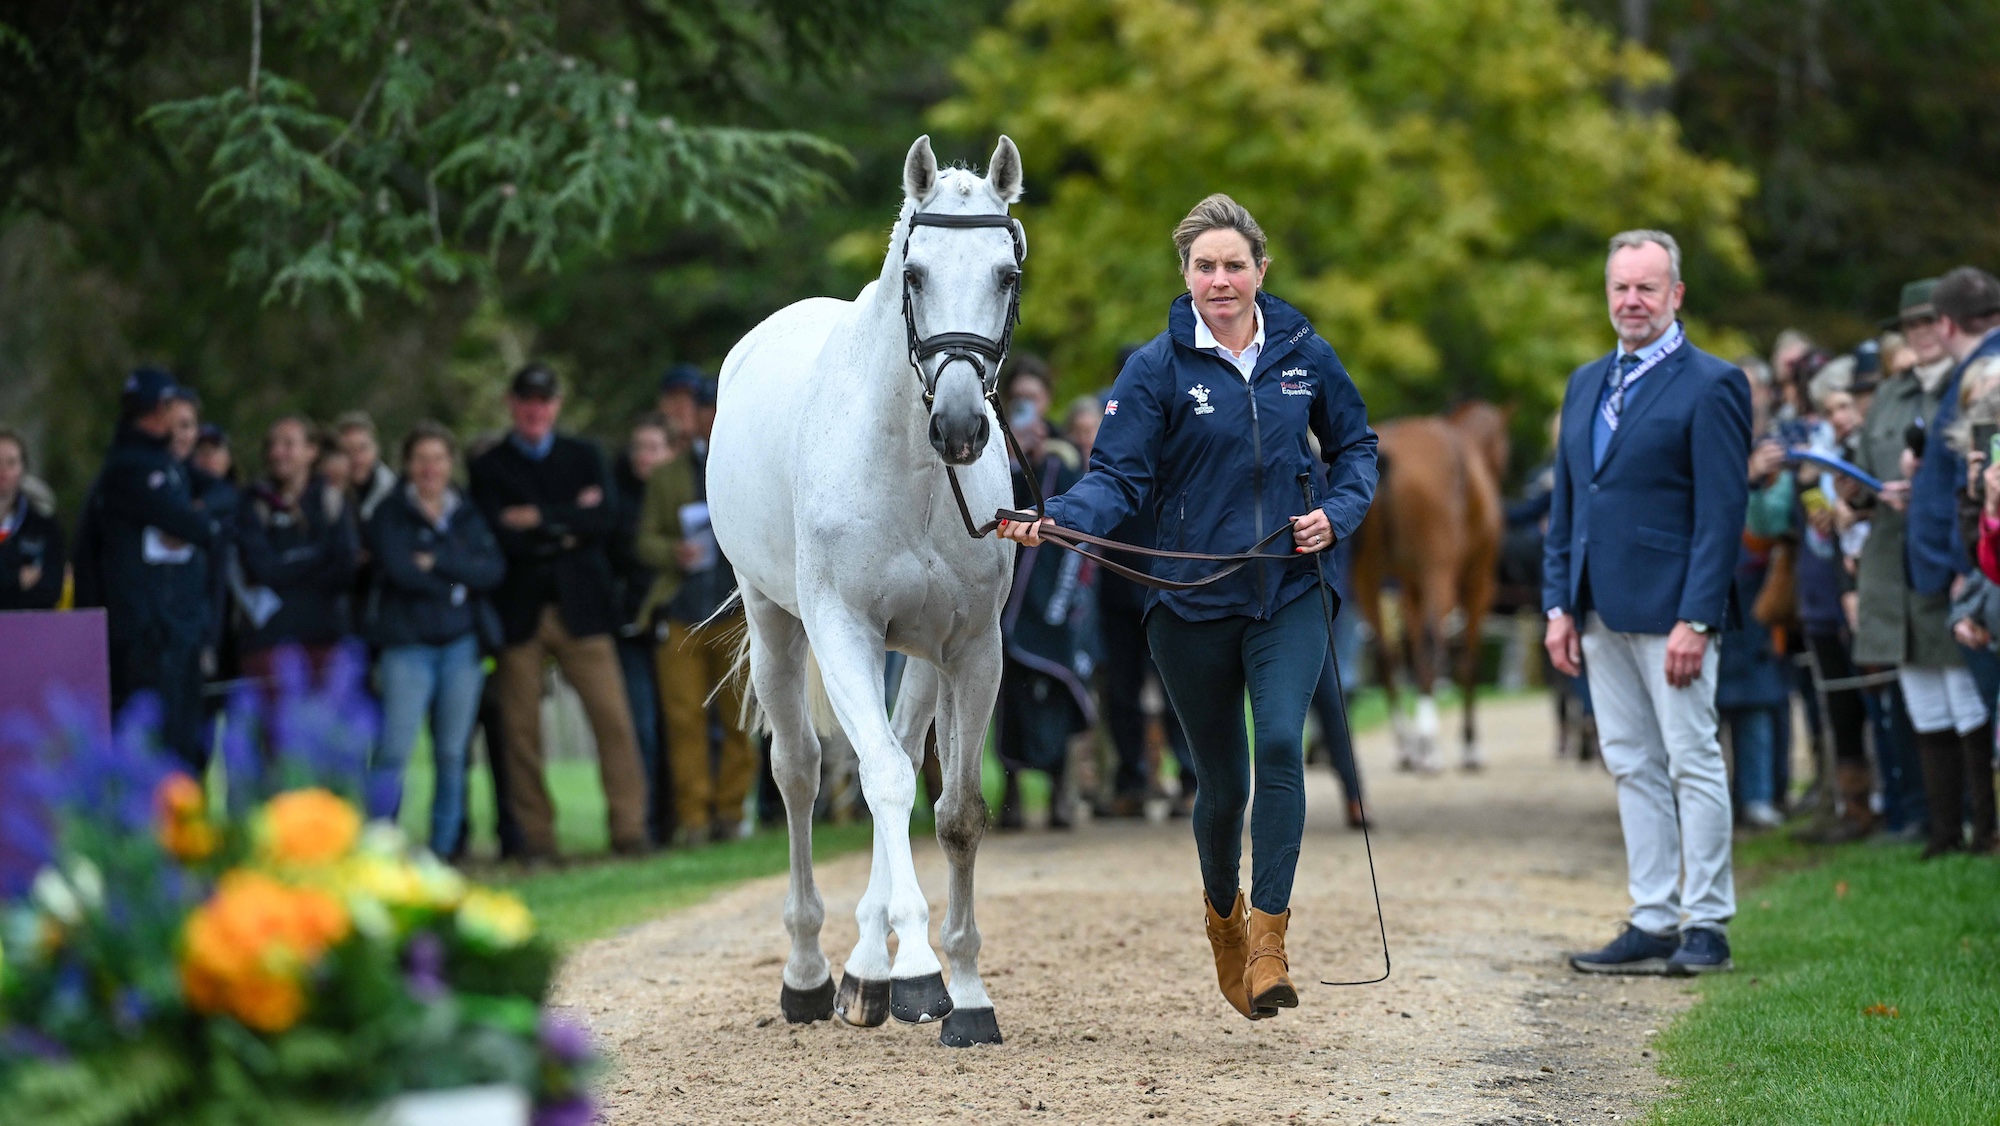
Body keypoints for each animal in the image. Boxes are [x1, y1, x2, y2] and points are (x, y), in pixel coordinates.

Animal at [706, 135, 1022, 1048]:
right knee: (802, 772)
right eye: (914, 272)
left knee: (903, 757)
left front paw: (965, 991)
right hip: (775, 621)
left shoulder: (970, 647)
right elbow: (878, 780)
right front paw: (918, 969)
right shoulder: (842, 630)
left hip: (914, 654)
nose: (960, 425)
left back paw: (864, 974)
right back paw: (811, 975)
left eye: (1006, 273)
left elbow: (955, 810)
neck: (909, 469)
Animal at [1349, 402, 1506, 772]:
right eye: (1505, 445)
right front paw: (1469, 745)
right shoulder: (1478, 585)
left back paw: (1408, 747)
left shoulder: (1410, 588)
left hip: (1365, 576)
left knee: (1386, 654)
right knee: (1435, 642)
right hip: (1440, 573)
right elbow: (1467, 661)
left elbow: (1413, 649)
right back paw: (1429, 743)